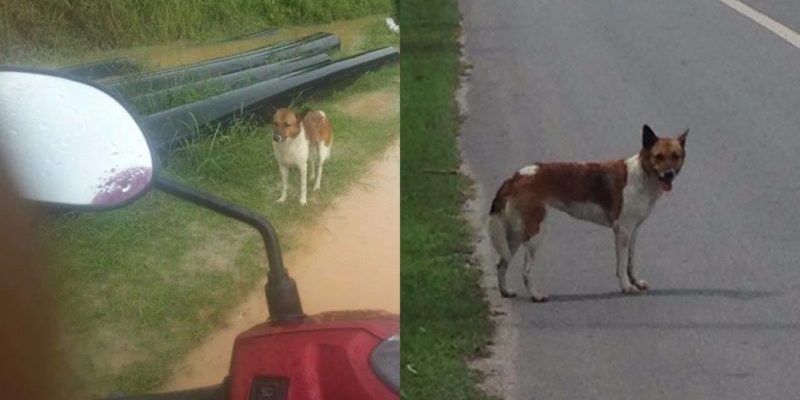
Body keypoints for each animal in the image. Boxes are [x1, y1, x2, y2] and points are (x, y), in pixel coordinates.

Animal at [488, 124, 688, 300]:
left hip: (515, 236)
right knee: (525, 270)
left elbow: (630, 263)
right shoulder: (623, 231)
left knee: (501, 264)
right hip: (535, 234)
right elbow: (622, 264)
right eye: (659, 156)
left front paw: (635, 282)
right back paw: (536, 296)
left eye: (675, 156)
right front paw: (626, 286)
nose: (669, 174)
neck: (643, 175)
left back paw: (505, 292)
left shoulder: (634, 231)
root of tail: (516, 176)